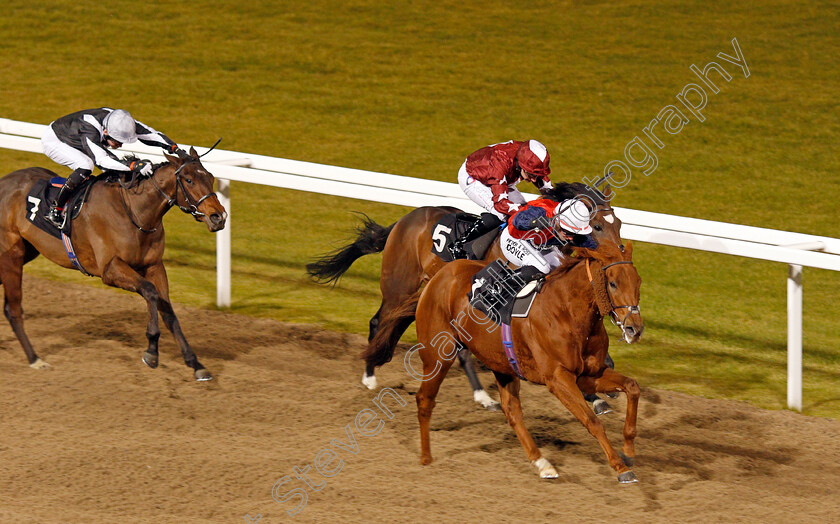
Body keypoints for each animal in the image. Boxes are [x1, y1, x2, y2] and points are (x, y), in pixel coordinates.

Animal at [0, 148, 228, 380]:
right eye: (189, 180)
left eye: (210, 178)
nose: (218, 217)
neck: (135, 212)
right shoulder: (110, 269)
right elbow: (150, 291)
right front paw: (152, 351)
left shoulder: (154, 266)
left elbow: (168, 312)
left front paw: (195, 363)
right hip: (12, 254)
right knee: (13, 309)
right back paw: (35, 359)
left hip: (28, 250)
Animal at [308, 182, 624, 408]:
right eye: (597, 225)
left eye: (619, 223)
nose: (618, 256)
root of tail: (402, 221)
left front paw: (598, 392)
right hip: (400, 285)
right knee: (380, 321)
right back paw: (370, 376)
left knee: (399, 324)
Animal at [368, 244, 644, 482]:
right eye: (613, 283)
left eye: (638, 281)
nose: (635, 328)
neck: (567, 311)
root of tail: (436, 278)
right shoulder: (558, 379)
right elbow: (592, 421)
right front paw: (620, 468)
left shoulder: (589, 374)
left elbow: (632, 387)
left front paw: (629, 451)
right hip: (438, 355)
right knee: (425, 399)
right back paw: (426, 457)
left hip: (501, 364)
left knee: (512, 411)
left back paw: (542, 463)